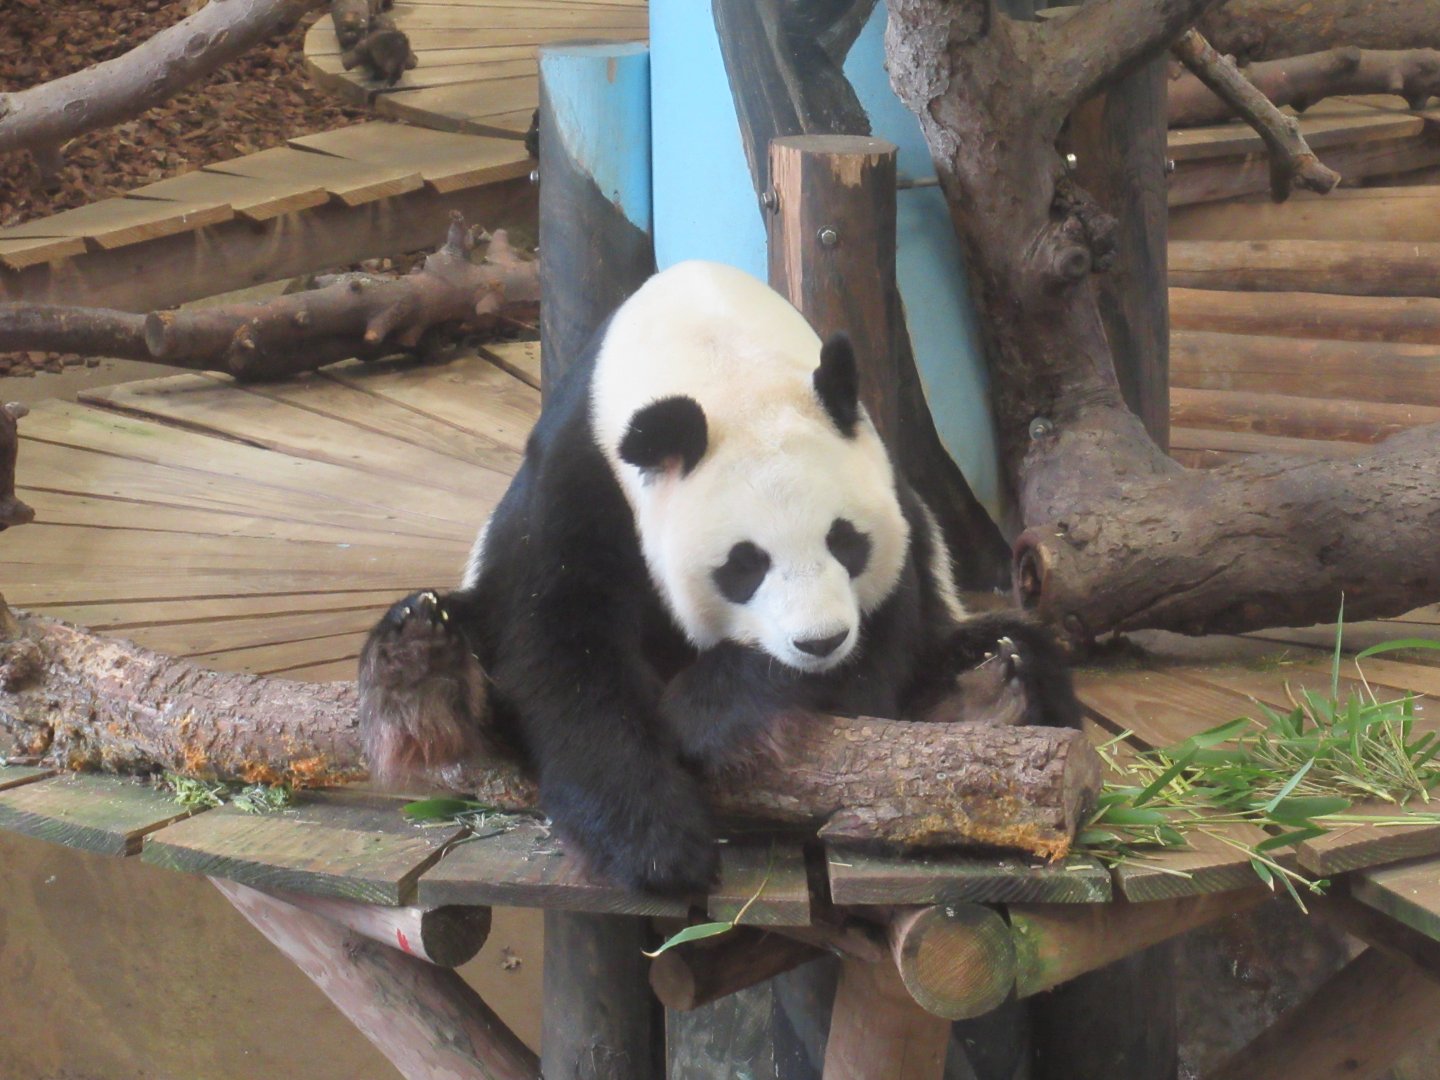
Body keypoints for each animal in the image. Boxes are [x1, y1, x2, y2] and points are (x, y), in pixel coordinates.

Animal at [358, 260, 1079, 895]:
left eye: (846, 541)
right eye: (744, 564)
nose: (818, 642)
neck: (718, 352)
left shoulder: (892, 516)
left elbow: (873, 658)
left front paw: (701, 710)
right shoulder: (582, 479)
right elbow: (561, 650)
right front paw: (655, 846)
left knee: (1005, 652)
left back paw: (991, 691)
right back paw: (419, 662)